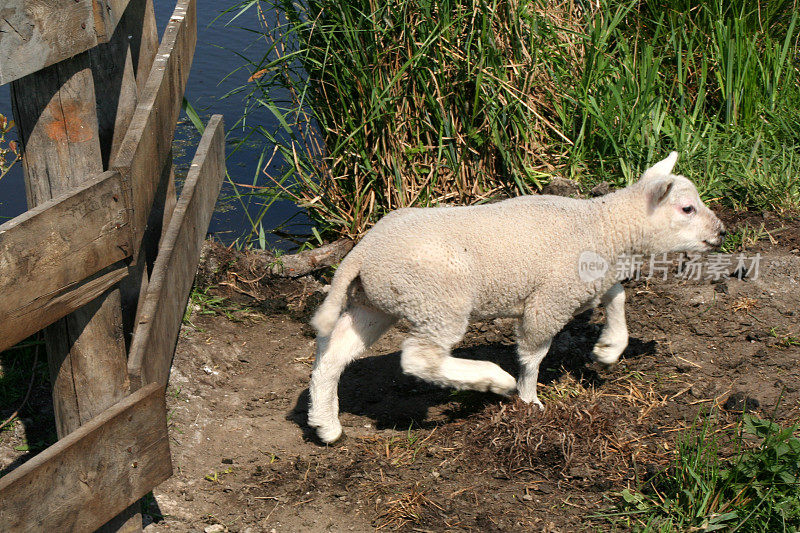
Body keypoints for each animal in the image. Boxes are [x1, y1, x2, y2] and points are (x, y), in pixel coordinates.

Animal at [304, 152, 724, 442]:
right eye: (687, 208)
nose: (721, 232)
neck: (604, 226)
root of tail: (361, 252)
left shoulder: (586, 279)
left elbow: (617, 295)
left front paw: (609, 349)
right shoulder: (551, 297)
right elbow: (533, 353)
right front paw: (527, 399)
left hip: (376, 302)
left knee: (333, 356)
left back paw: (326, 425)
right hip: (436, 301)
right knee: (419, 358)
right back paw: (493, 380)